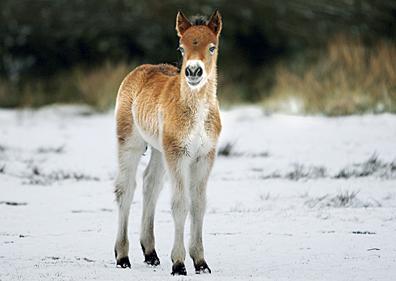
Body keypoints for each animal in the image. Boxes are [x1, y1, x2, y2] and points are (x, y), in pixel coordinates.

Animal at [113, 10, 223, 274]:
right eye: (181, 48)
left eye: (212, 47)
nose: (193, 72)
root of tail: (139, 70)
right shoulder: (178, 154)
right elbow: (180, 204)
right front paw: (179, 263)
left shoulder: (205, 156)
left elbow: (199, 204)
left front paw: (201, 262)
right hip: (131, 142)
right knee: (125, 189)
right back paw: (122, 256)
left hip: (159, 150)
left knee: (150, 184)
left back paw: (150, 253)